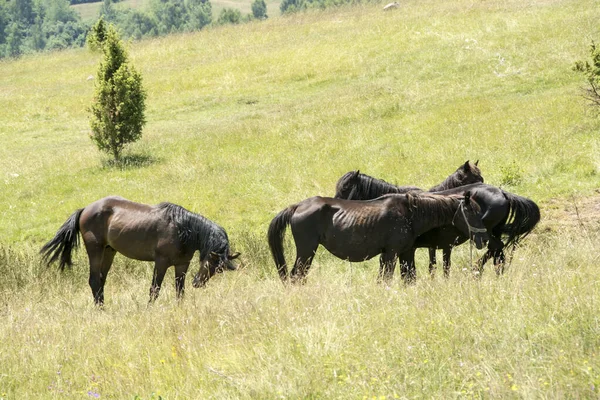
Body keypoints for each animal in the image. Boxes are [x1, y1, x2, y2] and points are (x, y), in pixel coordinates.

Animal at [39, 195, 241, 304]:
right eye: (210, 262)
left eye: (219, 269)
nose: (197, 283)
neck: (182, 228)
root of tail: (85, 209)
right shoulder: (161, 263)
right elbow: (154, 289)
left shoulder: (182, 264)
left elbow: (180, 291)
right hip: (95, 250)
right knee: (94, 281)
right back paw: (101, 310)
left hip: (109, 252)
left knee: (101, 281)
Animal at [268, 191, 488, 282]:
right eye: (472, 212)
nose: (484, 240)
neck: (410, 213)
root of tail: (297, 206)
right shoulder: (391, 253)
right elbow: (387, 279)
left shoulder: (403, 253)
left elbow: (407, 278)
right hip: (306, 251)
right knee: (297, 276)